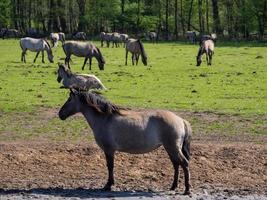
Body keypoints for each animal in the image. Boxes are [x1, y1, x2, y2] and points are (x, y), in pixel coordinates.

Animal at [58, 90, 193, 195]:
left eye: (69, 99)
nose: (60, 114)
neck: (105, 118)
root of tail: (181, 120)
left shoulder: (109, 150)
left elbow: (110, 166)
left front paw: (108, 185)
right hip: (170, 148)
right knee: (176, 165)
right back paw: (173, 186)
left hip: (173, 148)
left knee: (184, 163)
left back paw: (187, 190)